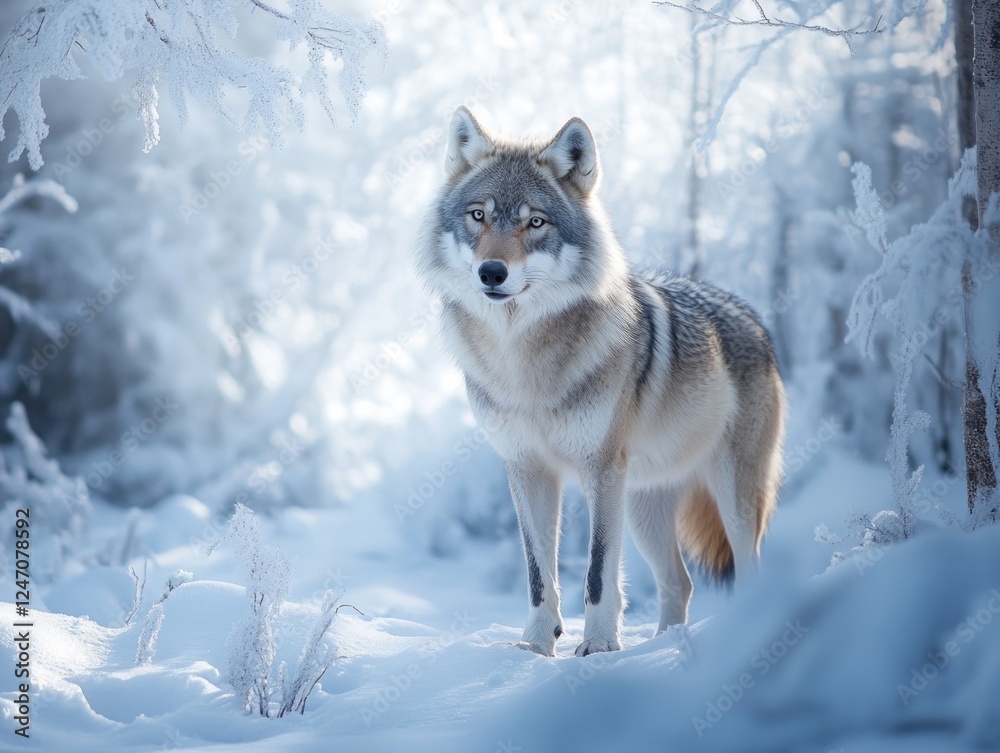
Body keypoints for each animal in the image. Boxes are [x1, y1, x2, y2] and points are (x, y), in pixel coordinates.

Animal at [417, 107, 785, 657]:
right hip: (645, 509)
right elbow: (538, 573)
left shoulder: (601, 470)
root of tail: (753, 318)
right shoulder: (526, 470)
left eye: (536, 221)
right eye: (478, 215)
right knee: (680, 583)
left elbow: (596, 571)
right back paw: (664, 648)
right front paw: (536, 645)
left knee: (749, 572)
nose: (491, 272)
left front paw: (597, 647)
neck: (524, 366)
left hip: (731, 500)